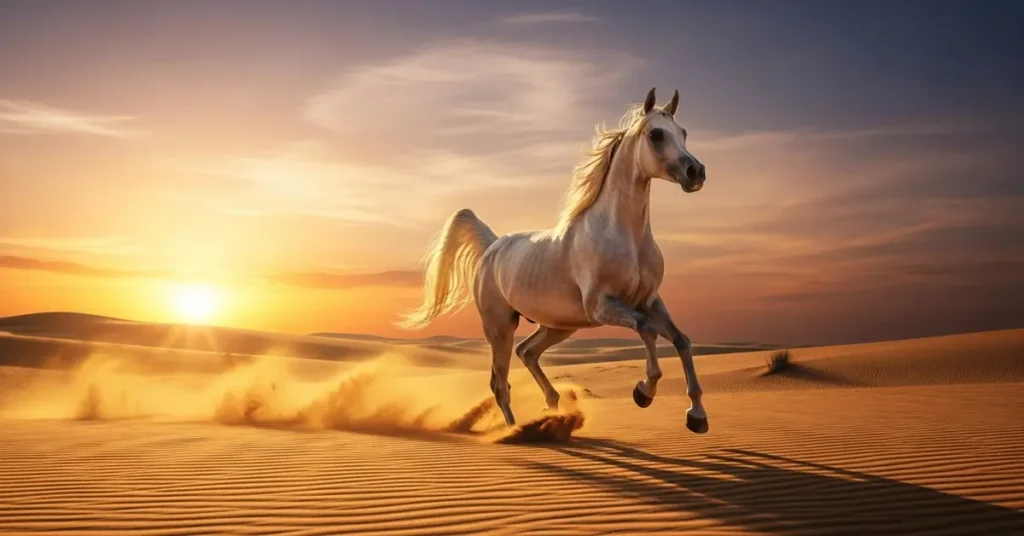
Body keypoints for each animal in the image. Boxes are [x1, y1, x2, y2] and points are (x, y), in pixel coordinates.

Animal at [397, 88, 709, 435]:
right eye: (656, 134)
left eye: (683, 132)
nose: (696, 173)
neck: (624, 236)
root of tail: (493, 247)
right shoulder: (602, 305)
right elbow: (647, 329)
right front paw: (644, 391)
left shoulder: (650, 300)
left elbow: (682, 341)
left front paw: (697, 416)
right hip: (500, 326)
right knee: (499, 382)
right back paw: (515, 431)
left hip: (560, 325)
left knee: (527, 352)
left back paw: (552, 406)